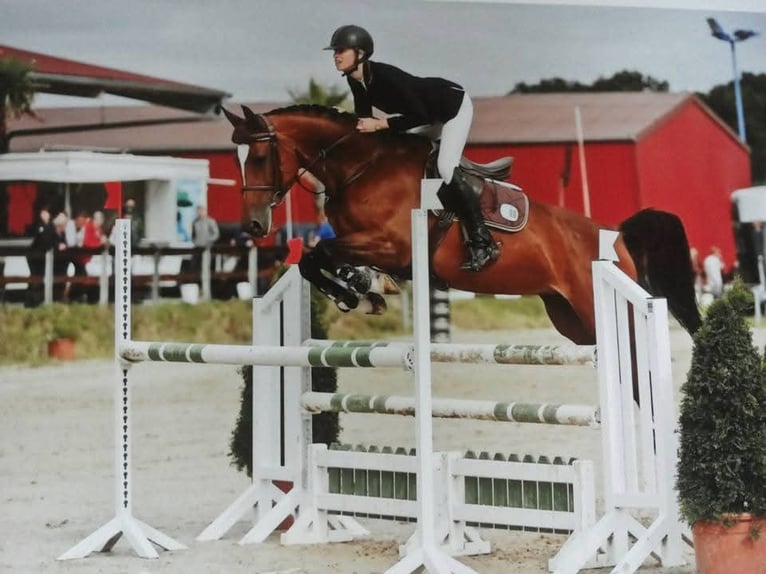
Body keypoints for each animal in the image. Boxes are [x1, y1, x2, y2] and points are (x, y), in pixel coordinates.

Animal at [222, 104, 704, 346]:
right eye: (236, 158)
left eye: (260, 156)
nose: (253, 225)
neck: (361, 167)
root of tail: (615, 235)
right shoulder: (362, 243)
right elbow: (313, 259)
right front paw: (361, 290)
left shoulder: (393, 246)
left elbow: (320, 253)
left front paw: (355, 292)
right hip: (572, 320)